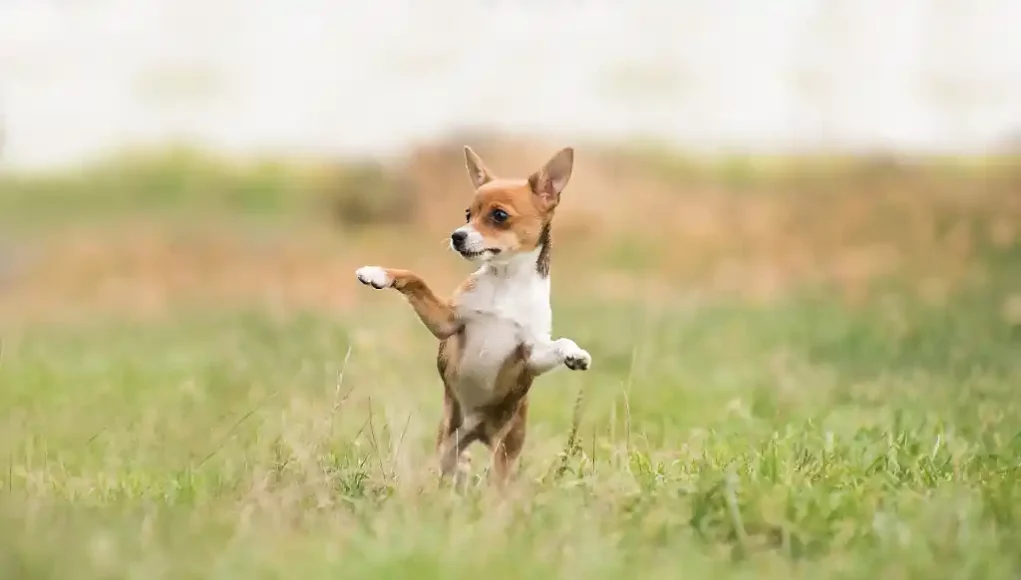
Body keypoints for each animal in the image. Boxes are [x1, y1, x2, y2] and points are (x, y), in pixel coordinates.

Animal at [353, 146, 592, 490]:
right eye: (468, 214)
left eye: (499, 216)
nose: (457, 235)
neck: (505, 282)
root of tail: (475, 432)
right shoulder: (447, 321)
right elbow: (416, 279)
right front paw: (378, 274)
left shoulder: (530, 356)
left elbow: (558, 343)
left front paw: (575, 354)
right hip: (448, 442)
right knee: (451, 467)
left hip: (504, 450)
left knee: (497, 480)